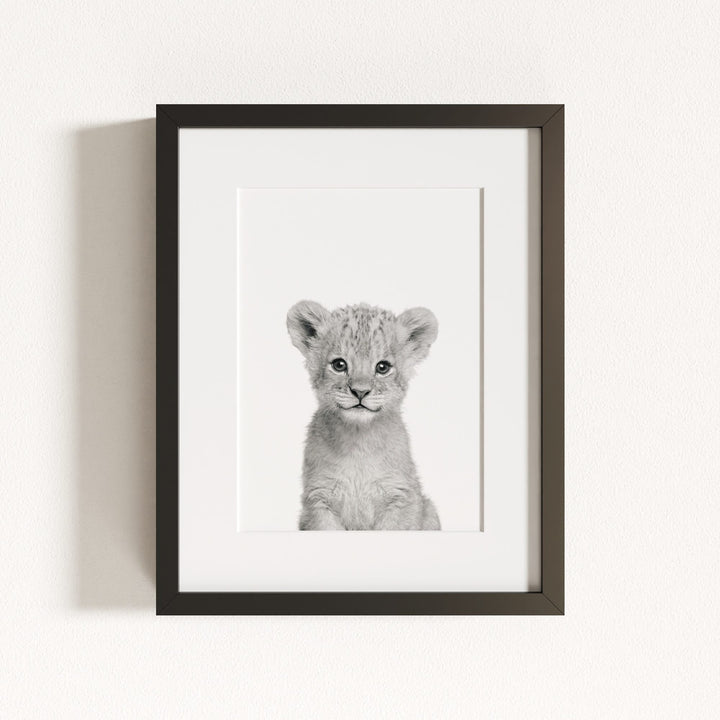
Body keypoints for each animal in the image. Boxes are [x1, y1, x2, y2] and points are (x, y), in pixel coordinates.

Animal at [287, 301, 441, 531]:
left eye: (383, 367)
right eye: (339, 365)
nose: (360, 392)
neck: (358, 442)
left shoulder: (402, 497)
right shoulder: (318, 499)